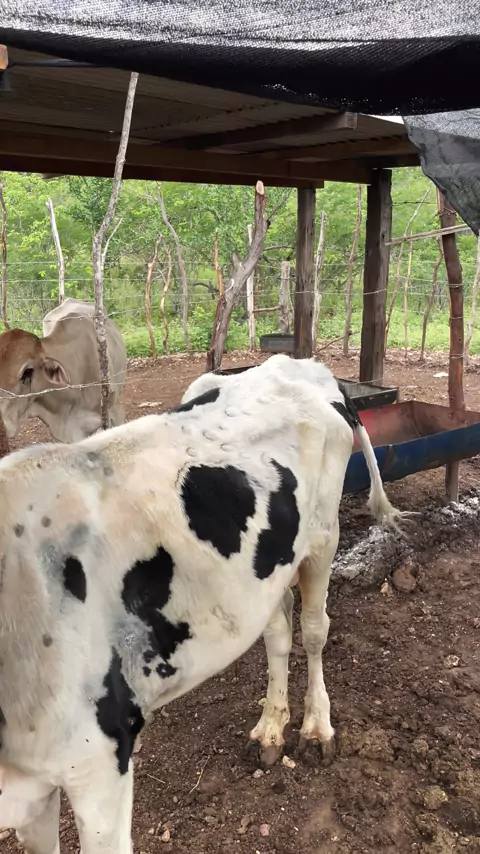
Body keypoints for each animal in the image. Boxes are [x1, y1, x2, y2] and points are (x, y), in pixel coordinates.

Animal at [0, 355, 406, 853]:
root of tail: (301, 364)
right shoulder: (32, 790)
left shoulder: (98, 763)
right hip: (267, 568)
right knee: (277, 631)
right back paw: (270, 729)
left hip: (323, 538)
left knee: (314, 629)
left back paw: (316, 727)